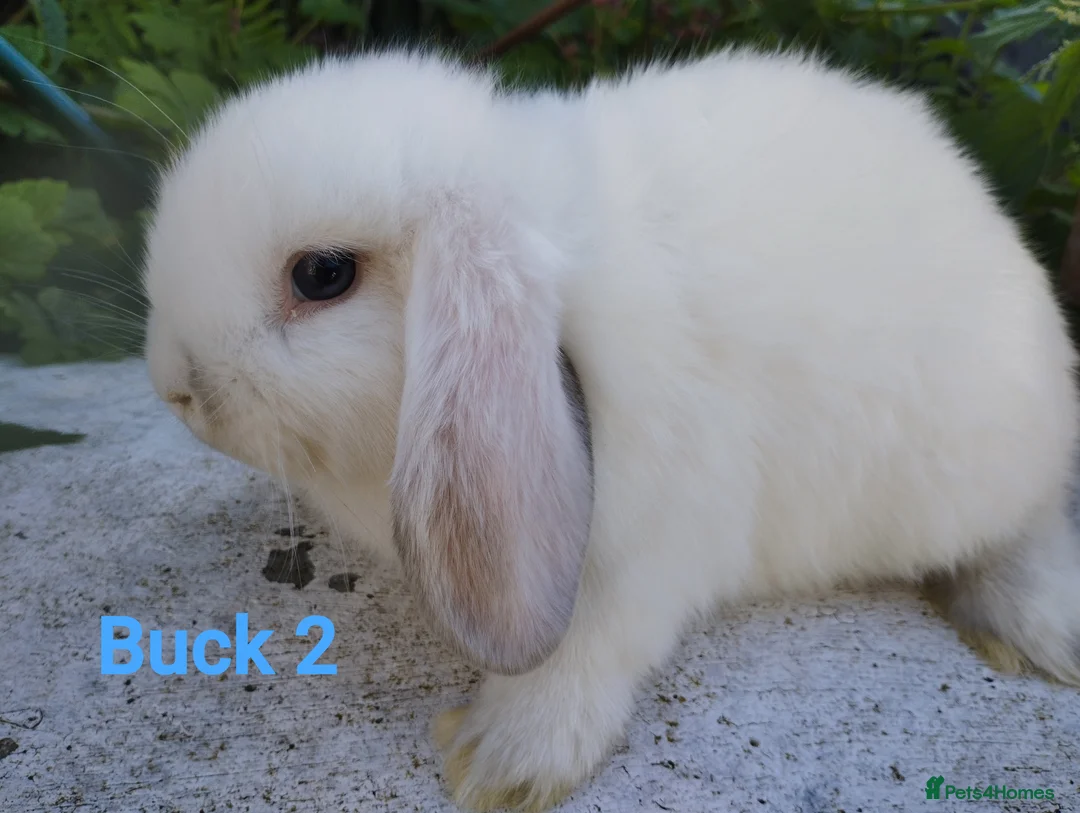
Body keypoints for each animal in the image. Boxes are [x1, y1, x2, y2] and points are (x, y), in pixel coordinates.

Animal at [142, 45, 1080, 812]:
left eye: (322, 275)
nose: (172, 385)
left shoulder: (656, 545)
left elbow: (588, 649)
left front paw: (500, 761)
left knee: (1026, 525)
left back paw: (1027, 627)